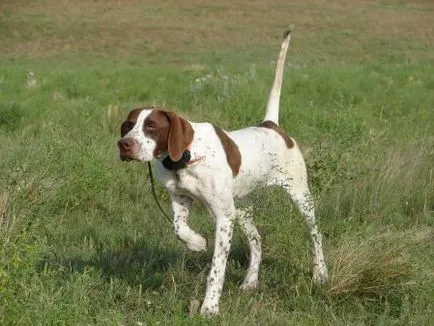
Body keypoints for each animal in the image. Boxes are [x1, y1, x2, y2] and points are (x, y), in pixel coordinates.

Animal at [117, 26, 328, 318]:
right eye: (128, 125)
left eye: (151, 127)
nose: (124, 144)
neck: (187, 157)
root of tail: (271, 125)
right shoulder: (181, 199)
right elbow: (178, 227)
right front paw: (196, 243)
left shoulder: (223, 217)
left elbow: (216, 269)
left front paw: (210, 306)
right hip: (242, 208)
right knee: (257, 241)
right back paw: (250, 282)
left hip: (299, 196)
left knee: (315, 234)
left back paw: (320, 274)